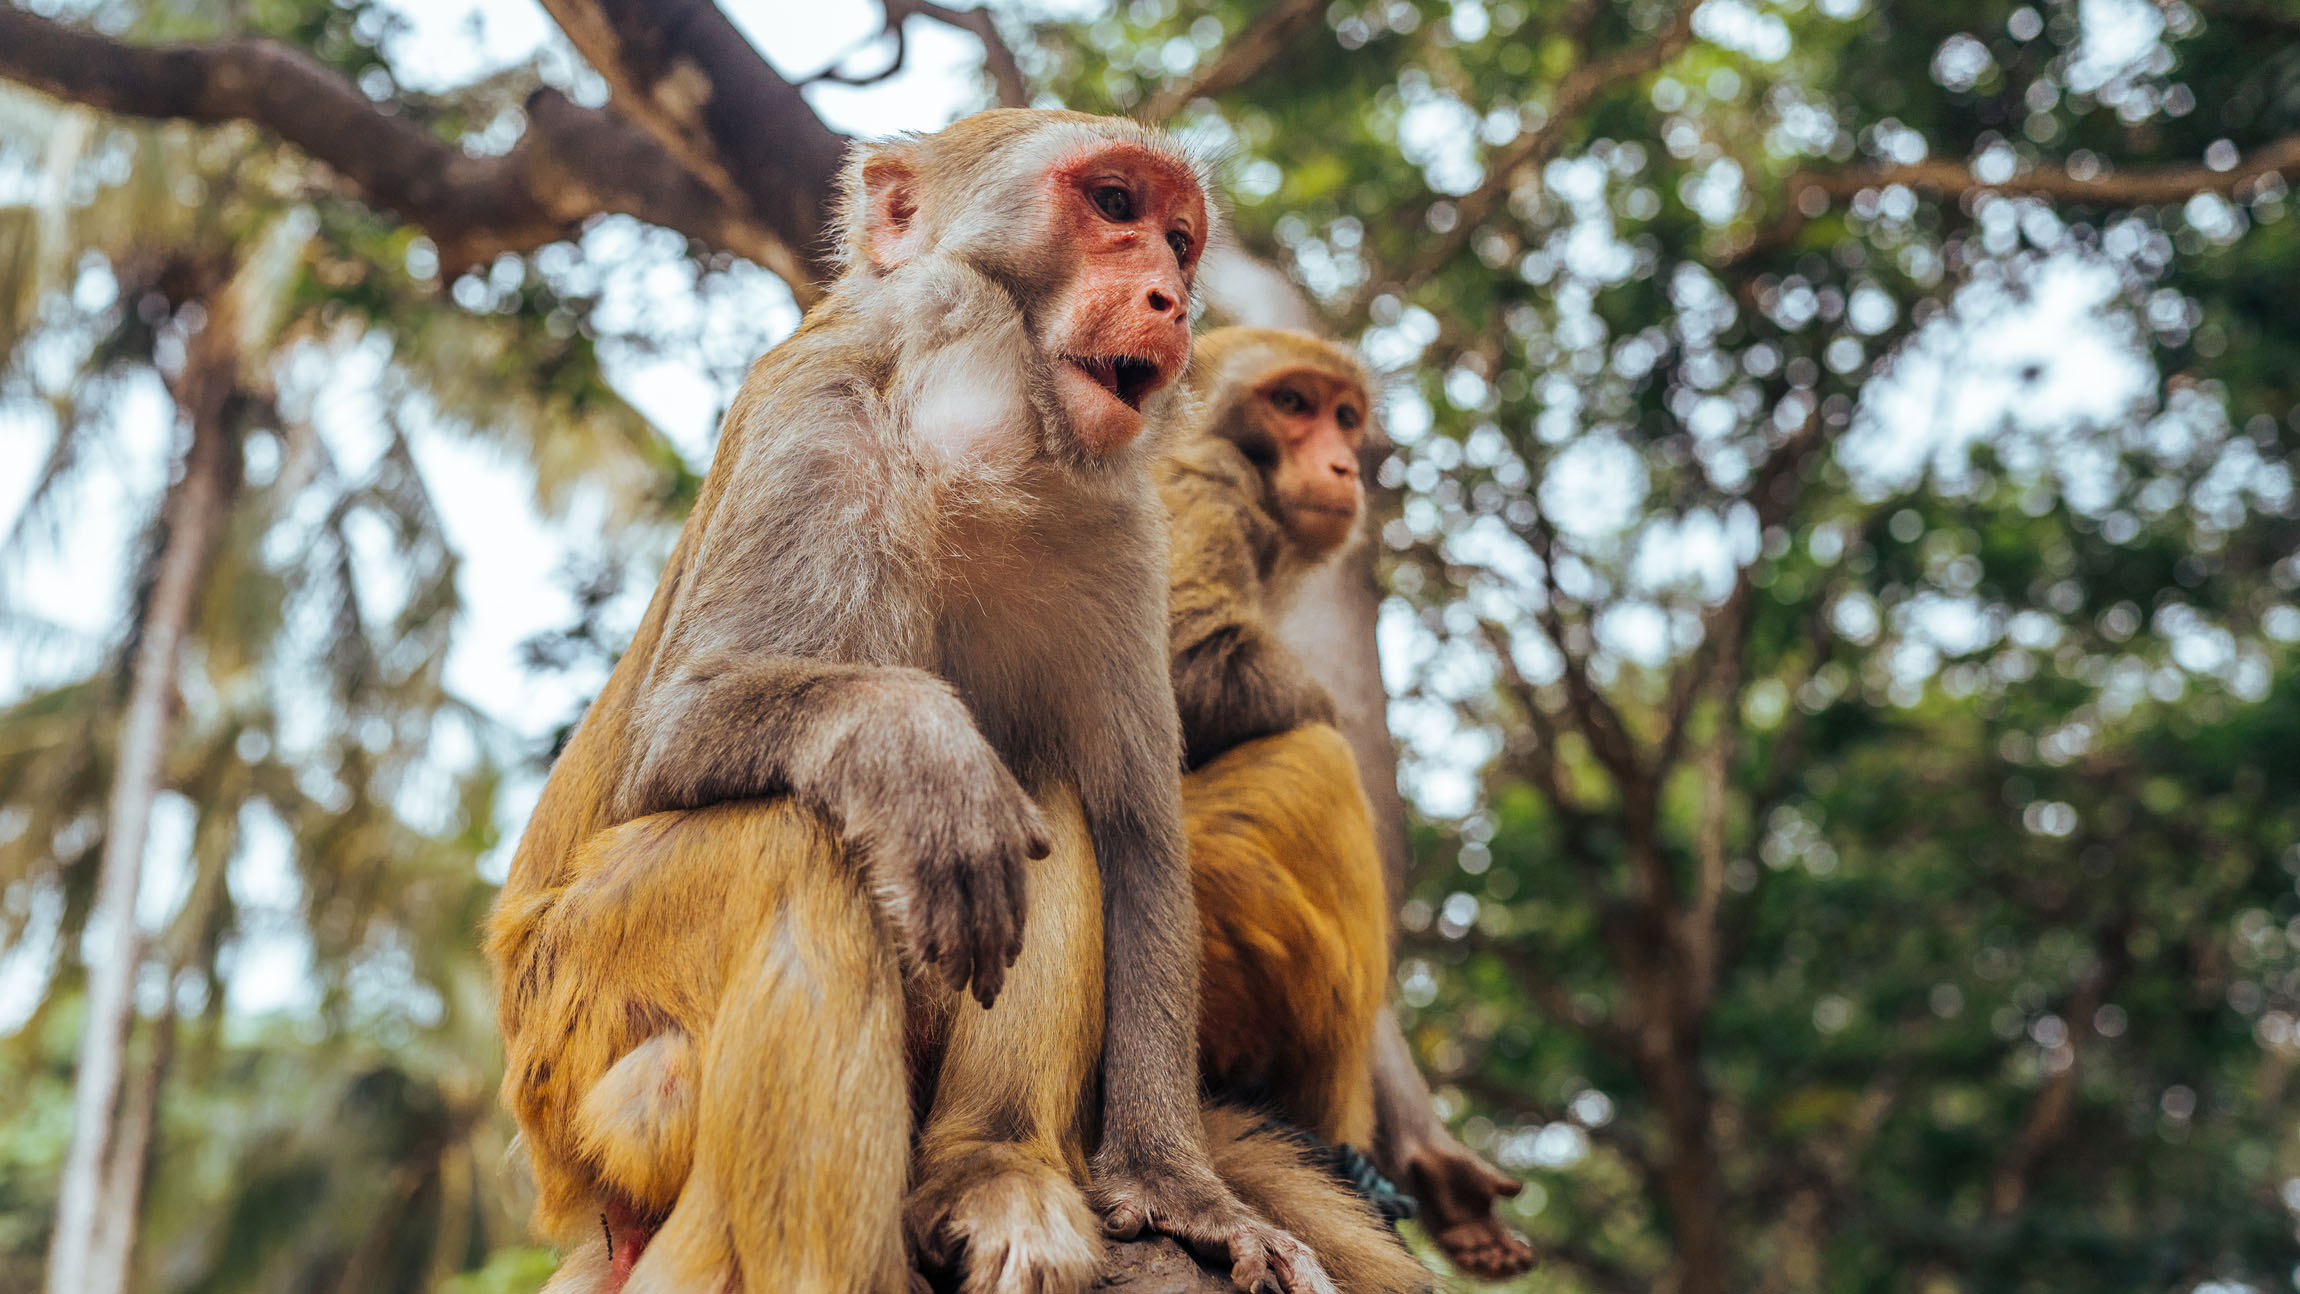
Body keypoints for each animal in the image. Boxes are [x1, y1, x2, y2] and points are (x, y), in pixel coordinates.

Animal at [486, 112, 1343, 1294]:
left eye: (1178, 241)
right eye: (1113, 204)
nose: (1170, 297)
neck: (969, 467)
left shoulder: (1128, 533)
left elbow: (1135, 840)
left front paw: (1177, 1187)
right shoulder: (811, 418)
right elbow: (681, 727)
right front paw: (908, 742)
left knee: (1040, 791)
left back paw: (992, 1172)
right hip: (570, 1036)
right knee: (799, 846)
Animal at [1158, 327, 1537, 1282]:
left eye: (1344, 415)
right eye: (1291, 404)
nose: (1340, 463)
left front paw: (1440, 1167)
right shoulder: (1201, 478)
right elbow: (1191, 663)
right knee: (1318, 764)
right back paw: (1322, 1145)